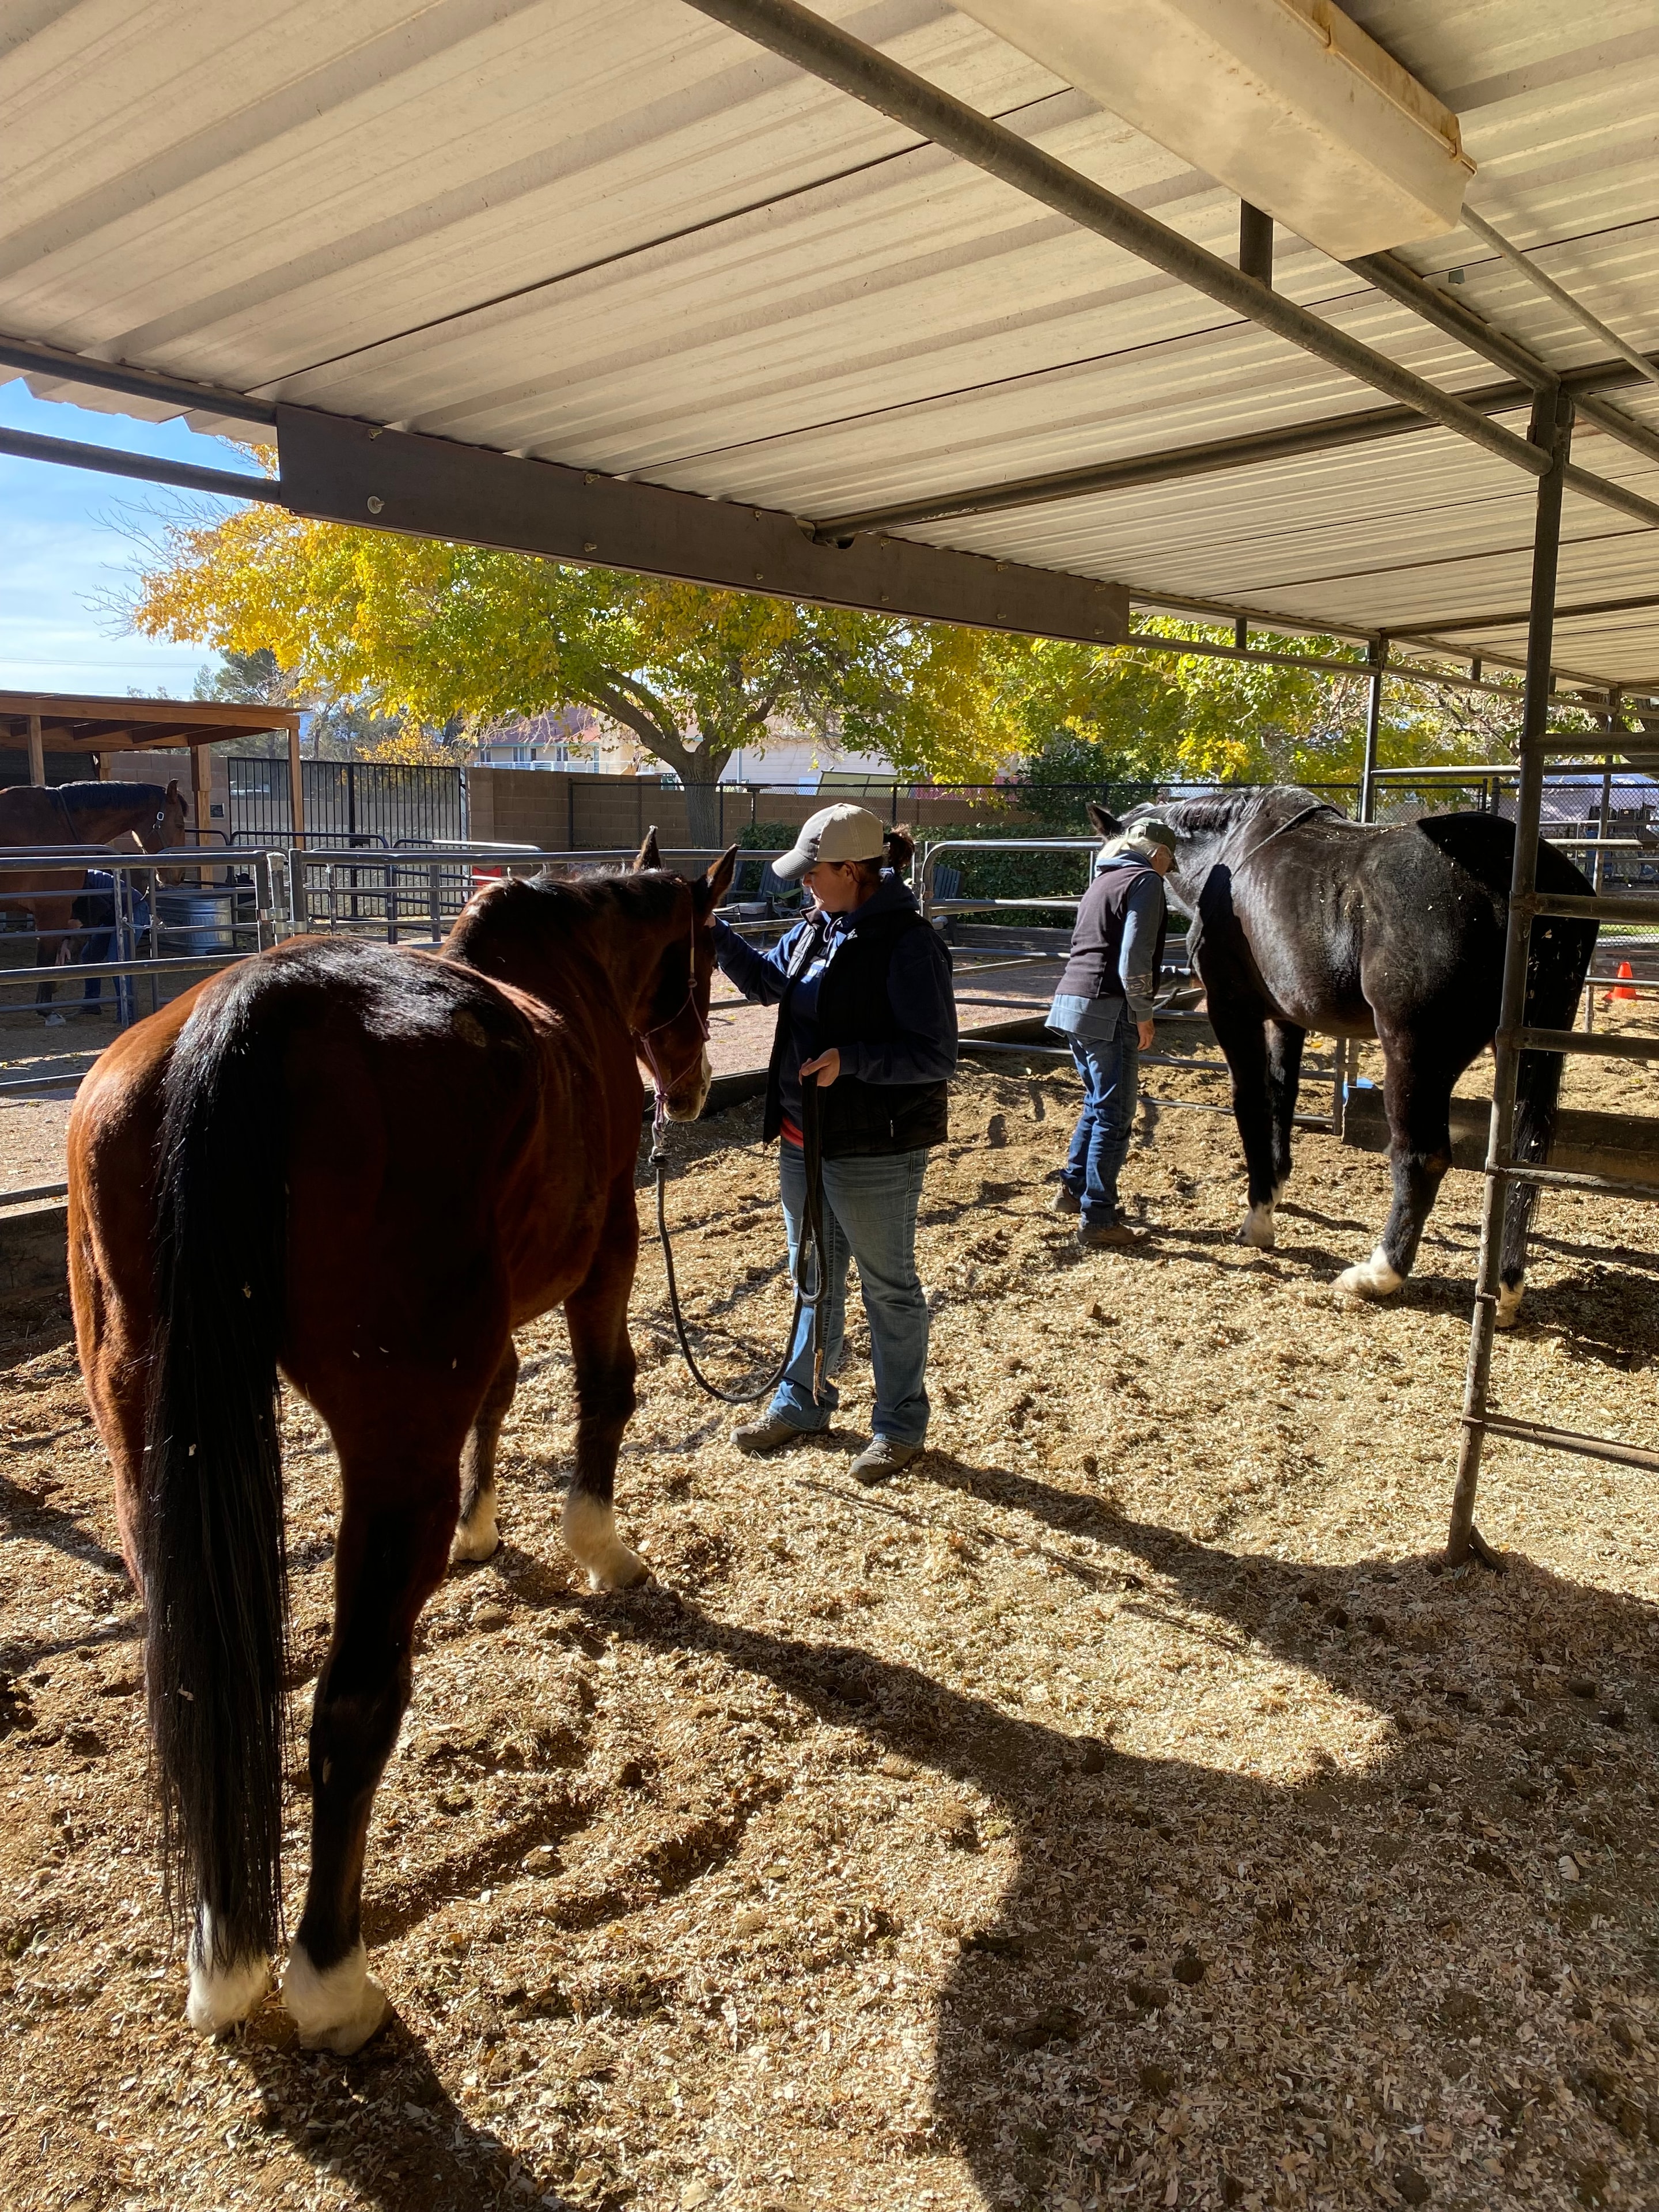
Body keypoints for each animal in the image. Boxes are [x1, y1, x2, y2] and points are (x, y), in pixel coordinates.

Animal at [0, 779, 191, 1014]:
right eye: (179, 825)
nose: (179, 875)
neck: (59, 822)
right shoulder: (53, 910)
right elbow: (45, 962)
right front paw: (47, 1010)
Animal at [67, 830, 735, 2055]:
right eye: (702, 958)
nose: (696, 1086)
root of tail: (256, 1007)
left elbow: (504, 1395)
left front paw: (484, 1530)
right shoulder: (607, 1248)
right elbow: (605, 1391)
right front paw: (598, 1547)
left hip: (146, 1448)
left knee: (195, 1686)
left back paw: (222, 1958)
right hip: (390, 1452)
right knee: (352, 1705)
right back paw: (329, 1978)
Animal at [1095, 789, 1597, 1320]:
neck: (1226, 855)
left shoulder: (1233, 1011)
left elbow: (1250, 1100)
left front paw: (1259, 1219)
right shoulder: (1286, 1018)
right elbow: (1283, 1095)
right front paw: (1276, 1186)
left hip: (1414, 1055)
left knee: (1422, 1158)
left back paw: (1378, 1274)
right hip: (1526, 1049)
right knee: (1522, 1157)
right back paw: (1505, 1286)